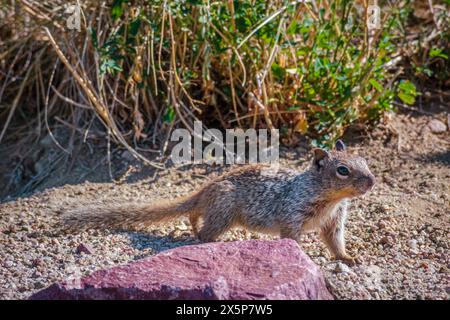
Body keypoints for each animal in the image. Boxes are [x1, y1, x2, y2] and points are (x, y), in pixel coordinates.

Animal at [62, 141, 372, 264]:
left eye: (364, 160)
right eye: (342, 170)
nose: (371, 181)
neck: (331, 199)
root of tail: (204, 190)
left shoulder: (335, 221)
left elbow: (335, 242)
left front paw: (348, 257)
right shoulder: (293, 215)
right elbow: (292, 239)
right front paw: (302, 256)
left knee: (195, 218)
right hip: (224, 215)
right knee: (204, 233)